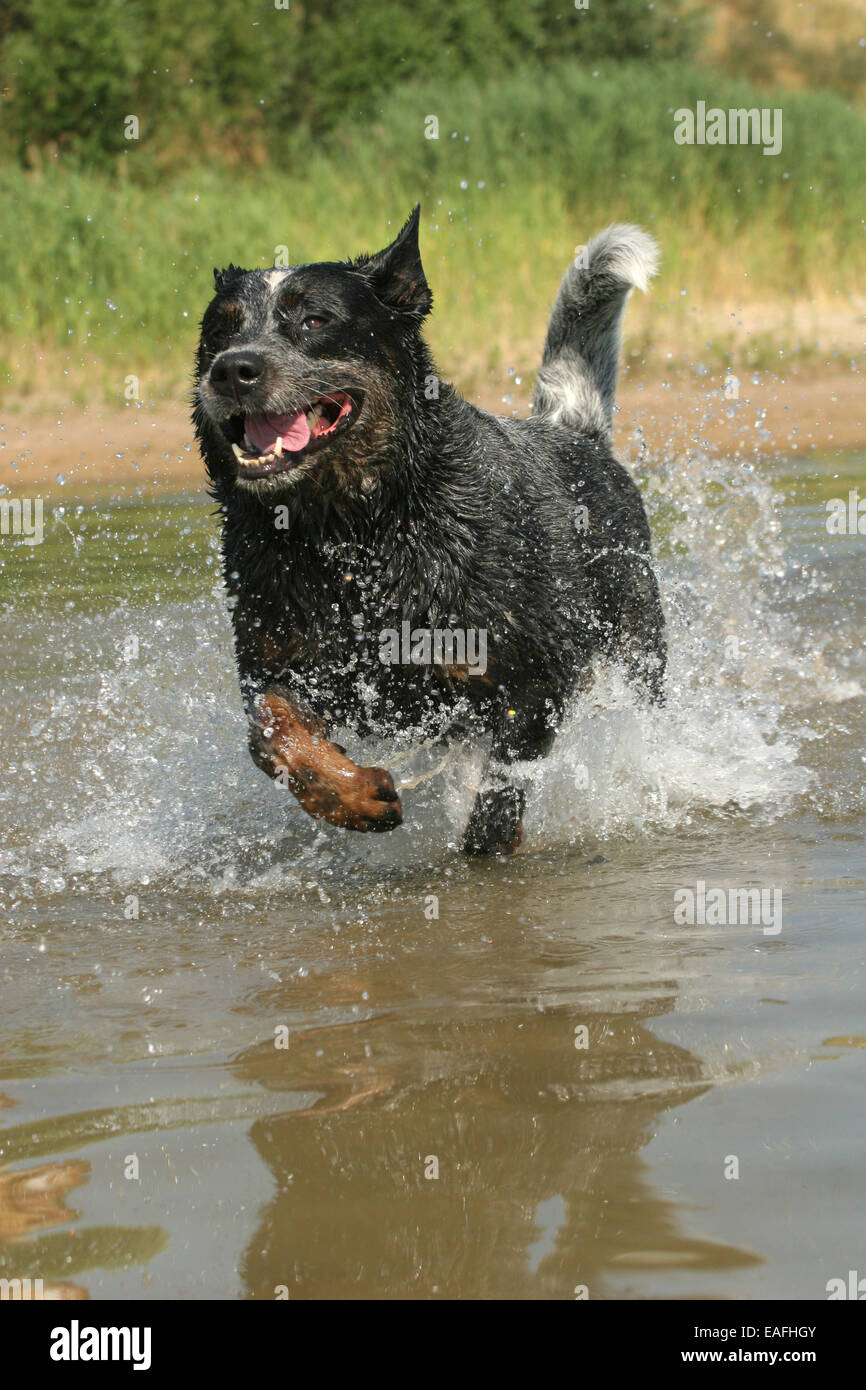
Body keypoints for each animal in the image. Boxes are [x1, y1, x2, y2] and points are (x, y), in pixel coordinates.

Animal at [191, 202, 664, 856]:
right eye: (221, 330)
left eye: (313, 320)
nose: (233, 368)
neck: (353, 536)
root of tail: (573, 430)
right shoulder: (275, 666)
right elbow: (273, 736)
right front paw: (354, 795)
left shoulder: (535, 673)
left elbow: (502, 787)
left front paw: (487, 848)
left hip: (637, 650)